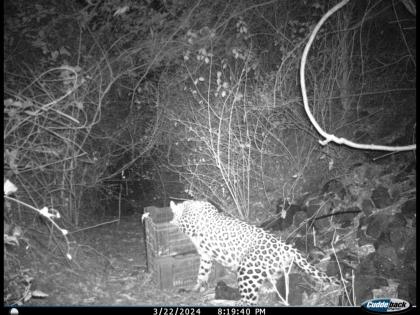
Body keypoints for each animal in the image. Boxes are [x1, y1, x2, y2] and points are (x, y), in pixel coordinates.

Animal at [169, 200, 342, 306]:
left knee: (247, 302)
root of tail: (287, 247)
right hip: (270, 272)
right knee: (269, 287)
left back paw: (217, 302)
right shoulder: (205, 254)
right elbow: (202, 272)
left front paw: (172, 219)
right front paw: (198, 286)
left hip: (246, 269)